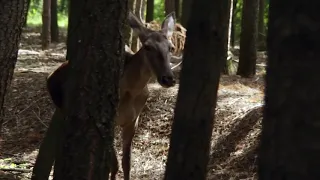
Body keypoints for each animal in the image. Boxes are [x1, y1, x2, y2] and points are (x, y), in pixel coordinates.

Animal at [46, 11, 182, 180]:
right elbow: (114, 164)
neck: (131, 91)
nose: (168, 78)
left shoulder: (133, 121)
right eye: (147, 46)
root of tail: (50, 76)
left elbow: (127, 163)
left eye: (171, 47)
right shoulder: (108, 119)